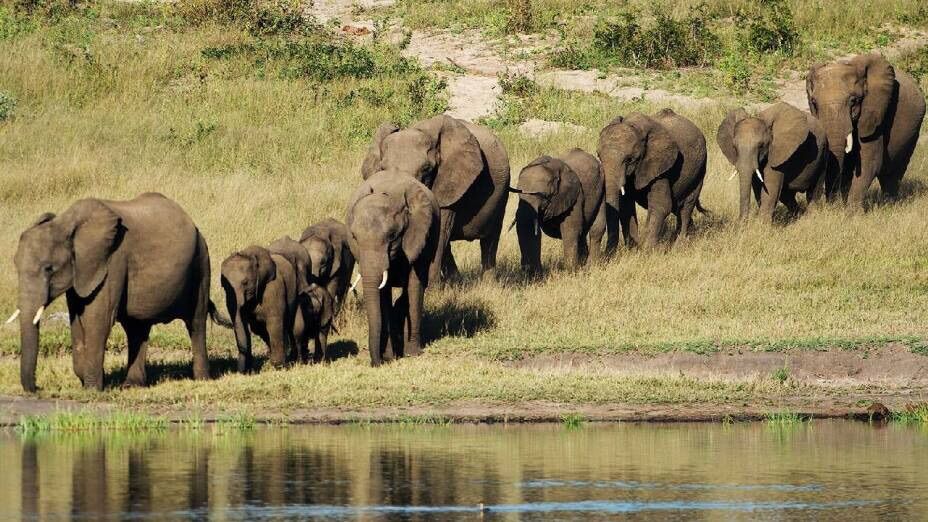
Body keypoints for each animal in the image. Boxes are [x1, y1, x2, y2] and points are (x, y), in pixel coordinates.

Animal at [10, 193, 221, 392]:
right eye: (16, 266)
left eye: (49, 268)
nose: (38, 388)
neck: (66, 223)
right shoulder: (81, 271)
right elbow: (77, 320)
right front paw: (89, 379)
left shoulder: (113, 260)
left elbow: (98, 319)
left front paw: (92, 389)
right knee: (137, 328)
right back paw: (132, 385)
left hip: (201, 262)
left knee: (196, 321)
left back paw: (202, 379)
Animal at [346, 170, 439, 366]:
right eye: (354, 237)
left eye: (392, 236)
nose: (376, 363)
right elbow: (383, 294)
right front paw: (390, 356)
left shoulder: (419, 235)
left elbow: (414, 285)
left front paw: (413, 353)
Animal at [360, 114, 510, 282]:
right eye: (382, 168)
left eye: (427, 169)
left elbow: (439, 231)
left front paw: (431, 287)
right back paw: (455, 281)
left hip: (502, 193)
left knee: (490, 239)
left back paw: (487, 283)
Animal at [597, 108, 708, 249]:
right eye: (599, 156)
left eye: (629, 160)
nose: (608, 252)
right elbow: (626, 207)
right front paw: (633, 249)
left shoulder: (660, 165)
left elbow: (661, 205)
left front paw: (647, 250)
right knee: (677, 206)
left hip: (700, 168)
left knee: (686, 206)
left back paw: (680, 244)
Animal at [806, 53, 926, 210]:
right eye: (814, 103)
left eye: (853, 101)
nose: (830, 205)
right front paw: (840, 208)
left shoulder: (874, 113)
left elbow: (869, 161)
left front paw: (852, 213)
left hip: (914, 128)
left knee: (894, 170)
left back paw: (889, 205)